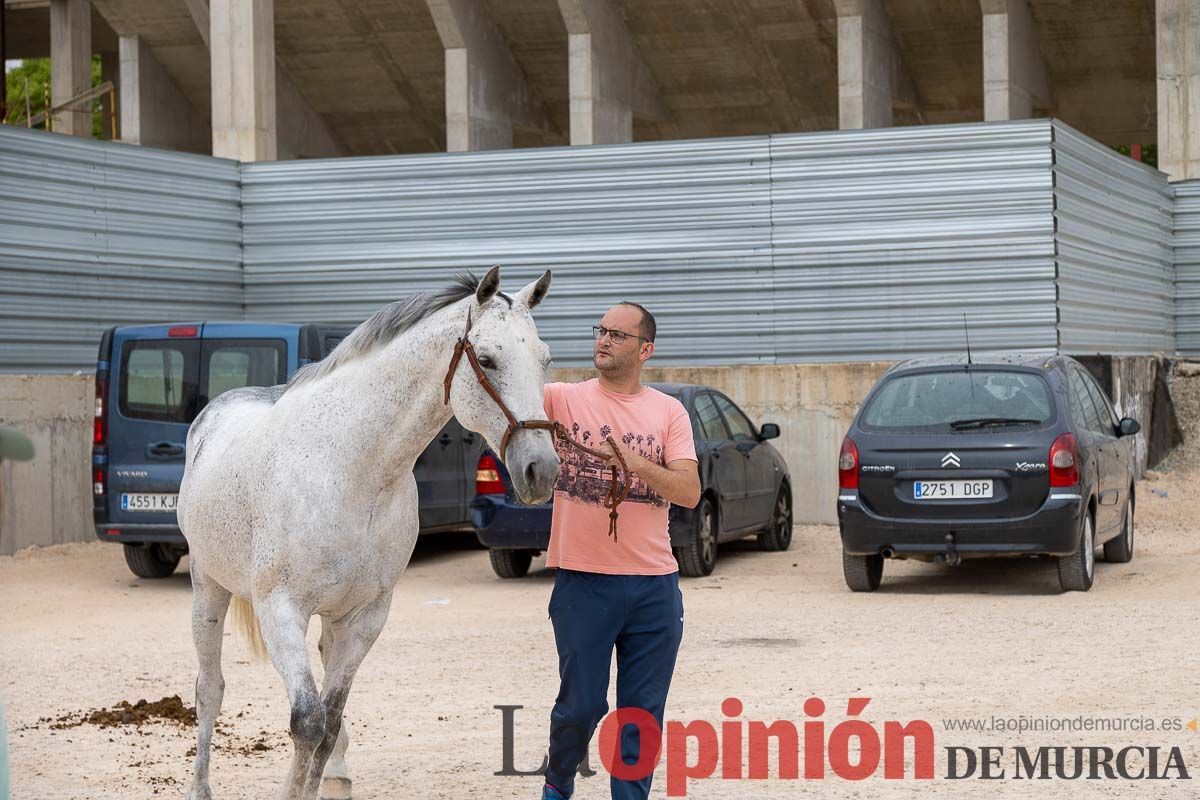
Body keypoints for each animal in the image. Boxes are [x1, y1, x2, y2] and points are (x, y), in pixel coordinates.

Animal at [178, 268, 561, 800]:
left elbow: (330, 720)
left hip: (330, 615)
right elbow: (307, 721)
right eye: (486, 359)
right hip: (207, 587)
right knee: (209, 689)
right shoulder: (281, 610)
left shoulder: (366, 617)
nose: (540, 471)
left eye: (544, 358)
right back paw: (200, 787)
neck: (353, 467)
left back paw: (338, 773)